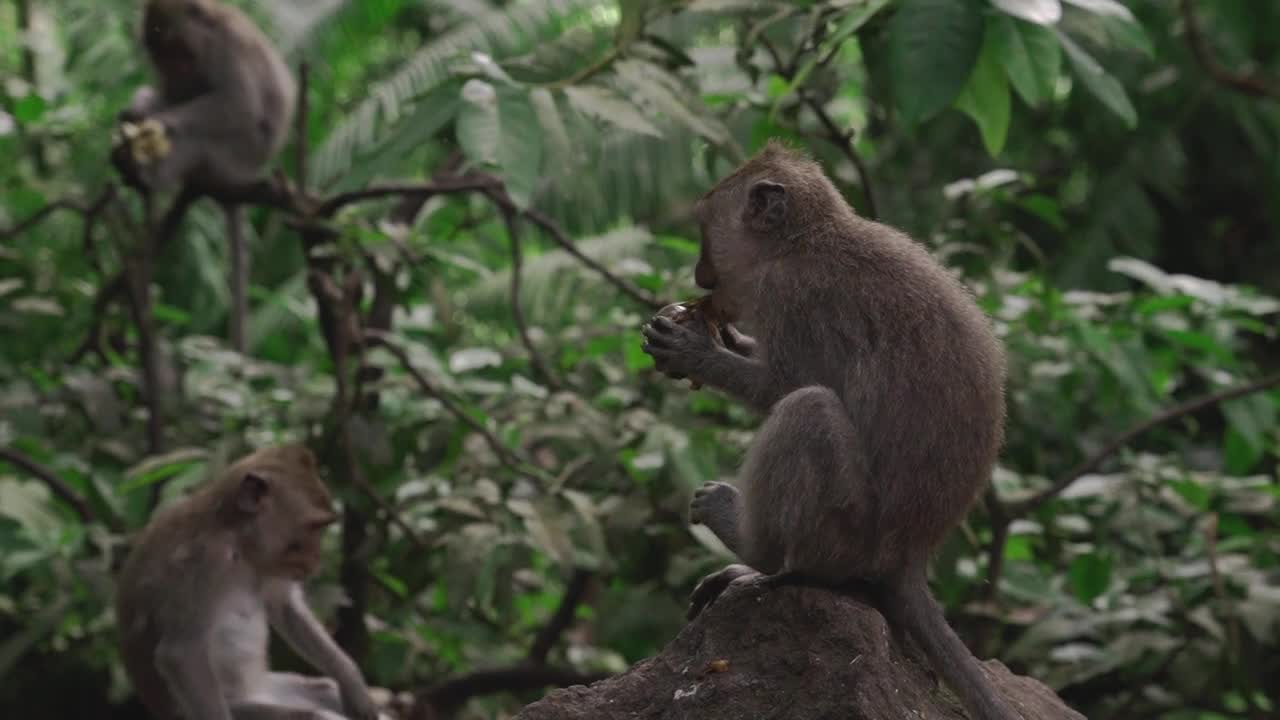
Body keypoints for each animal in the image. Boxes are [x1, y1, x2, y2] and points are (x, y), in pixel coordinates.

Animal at [110, 0, 296, 353]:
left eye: (179, 52)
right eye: (164, 57)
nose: (177, 69)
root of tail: (249, 174)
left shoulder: (228, 48)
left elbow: (239, 106)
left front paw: (160, 122)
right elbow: (168, 94)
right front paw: (139, 111)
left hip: (230, 158)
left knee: (198, 138)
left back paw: (147, 174)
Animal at [115, 443, 378, 717]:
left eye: (323, 527)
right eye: (314, 527)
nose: (317, 559)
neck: (239, 541)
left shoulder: (272, 563)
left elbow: (285, 607)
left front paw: (352, 682)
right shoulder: (202, 560)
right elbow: (182, 653)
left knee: (322, 689)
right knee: (309, 715)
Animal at [645, 140, 1024, 717]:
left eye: (706, 231)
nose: (701, 275)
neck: (803, 241)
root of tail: (912, 555)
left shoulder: (790, 294)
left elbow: (786, 384)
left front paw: (695, 351)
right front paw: (722, 335)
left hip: (850, 529)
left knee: (809, 410)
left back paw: (754, 548)